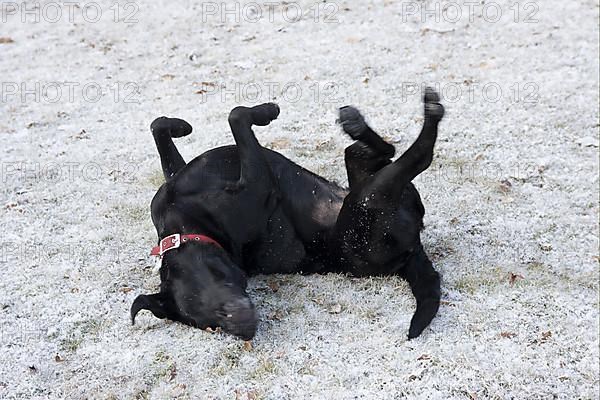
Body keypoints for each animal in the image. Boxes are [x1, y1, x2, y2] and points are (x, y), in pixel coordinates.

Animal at [132, 88, 446, 340]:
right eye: (207, 324)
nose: (245, 330)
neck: (185, 223)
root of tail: (412, 252)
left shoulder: (175, 180)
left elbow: (160, 128)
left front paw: (180, 125)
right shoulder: (258, 185)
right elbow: (236, 116)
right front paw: (265, 112)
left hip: (362, 180)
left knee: (370, 150)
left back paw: (355, 125)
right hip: (368, 203)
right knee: (419, 157)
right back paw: (431, 110)